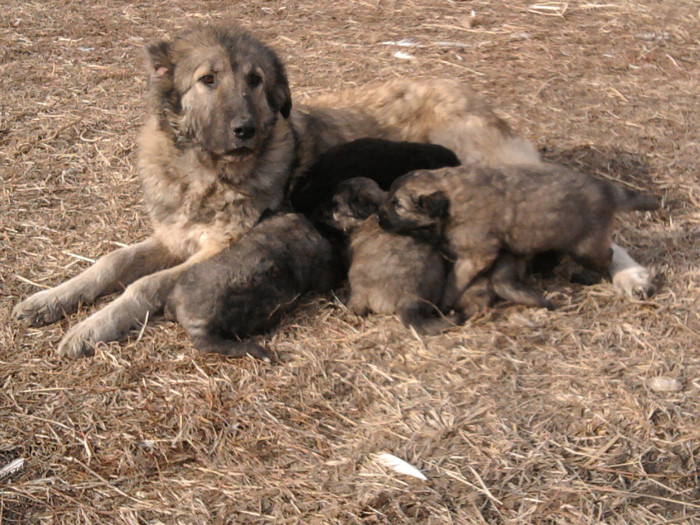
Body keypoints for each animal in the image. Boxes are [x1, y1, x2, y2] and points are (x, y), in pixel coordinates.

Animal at [380, 164, 660, 310]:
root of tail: (608, 190)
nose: (378, 218)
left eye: (398, 205)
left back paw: (587, 276)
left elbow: (455, 281)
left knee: (606, 256)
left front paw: (444, 303)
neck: (451, 199)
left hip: (585, 245)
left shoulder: (477, 255)